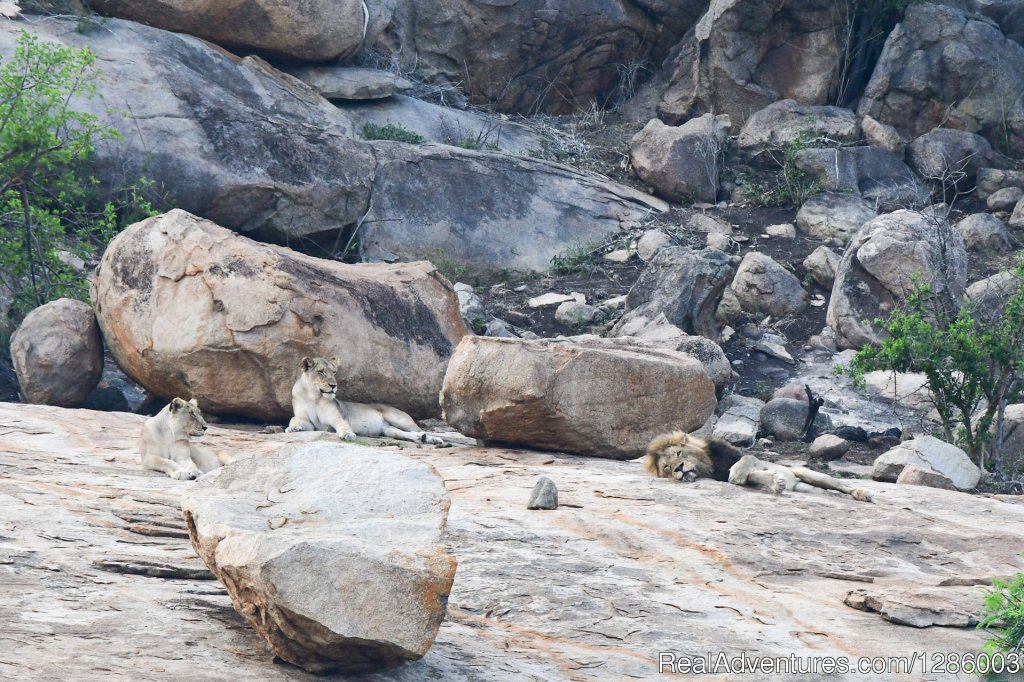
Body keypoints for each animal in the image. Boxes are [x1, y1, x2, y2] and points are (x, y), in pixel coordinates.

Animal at [280, 356, 444, 446]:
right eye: (321, 372)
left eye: (334, 372)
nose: (334, 386)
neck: (312, 396)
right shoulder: (309, 423)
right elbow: (294, 419)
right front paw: (292, 428)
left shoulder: (334, 419)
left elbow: (343, 424)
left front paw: (347, 435)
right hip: (388, 430)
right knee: (403, 434)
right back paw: (421, 438)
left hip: (399, 418)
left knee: (420, 429)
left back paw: (433, 439)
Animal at [638, 430, 872, 499]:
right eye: (666, 468)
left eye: (679, 453)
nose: (678, 469)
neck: (711, 465)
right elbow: (754, 477)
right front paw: (776, 482)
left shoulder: (747, 457)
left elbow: (747, 459)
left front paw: (738, 472)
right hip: (806, 488)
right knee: (823, 492)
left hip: (813, 474)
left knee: (840, 485)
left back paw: (861, 493)